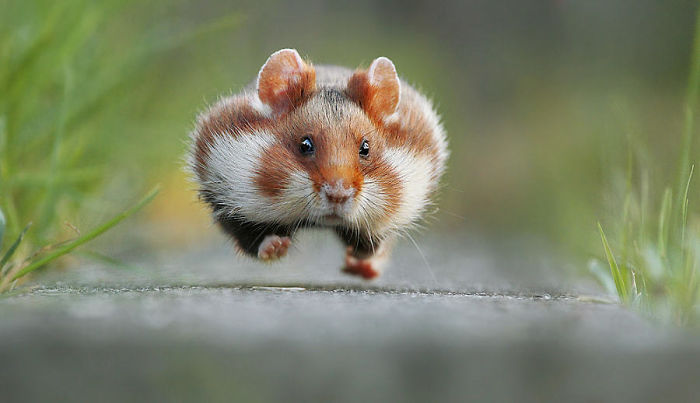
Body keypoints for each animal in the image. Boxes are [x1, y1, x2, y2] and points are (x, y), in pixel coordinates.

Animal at [188, 49, 448, 279]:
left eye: (365, 148)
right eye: (305, 145)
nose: (338, 195)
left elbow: (371, 243)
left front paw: (357, 255)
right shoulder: (228, 198)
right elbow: (252, 239)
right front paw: (277, 247)